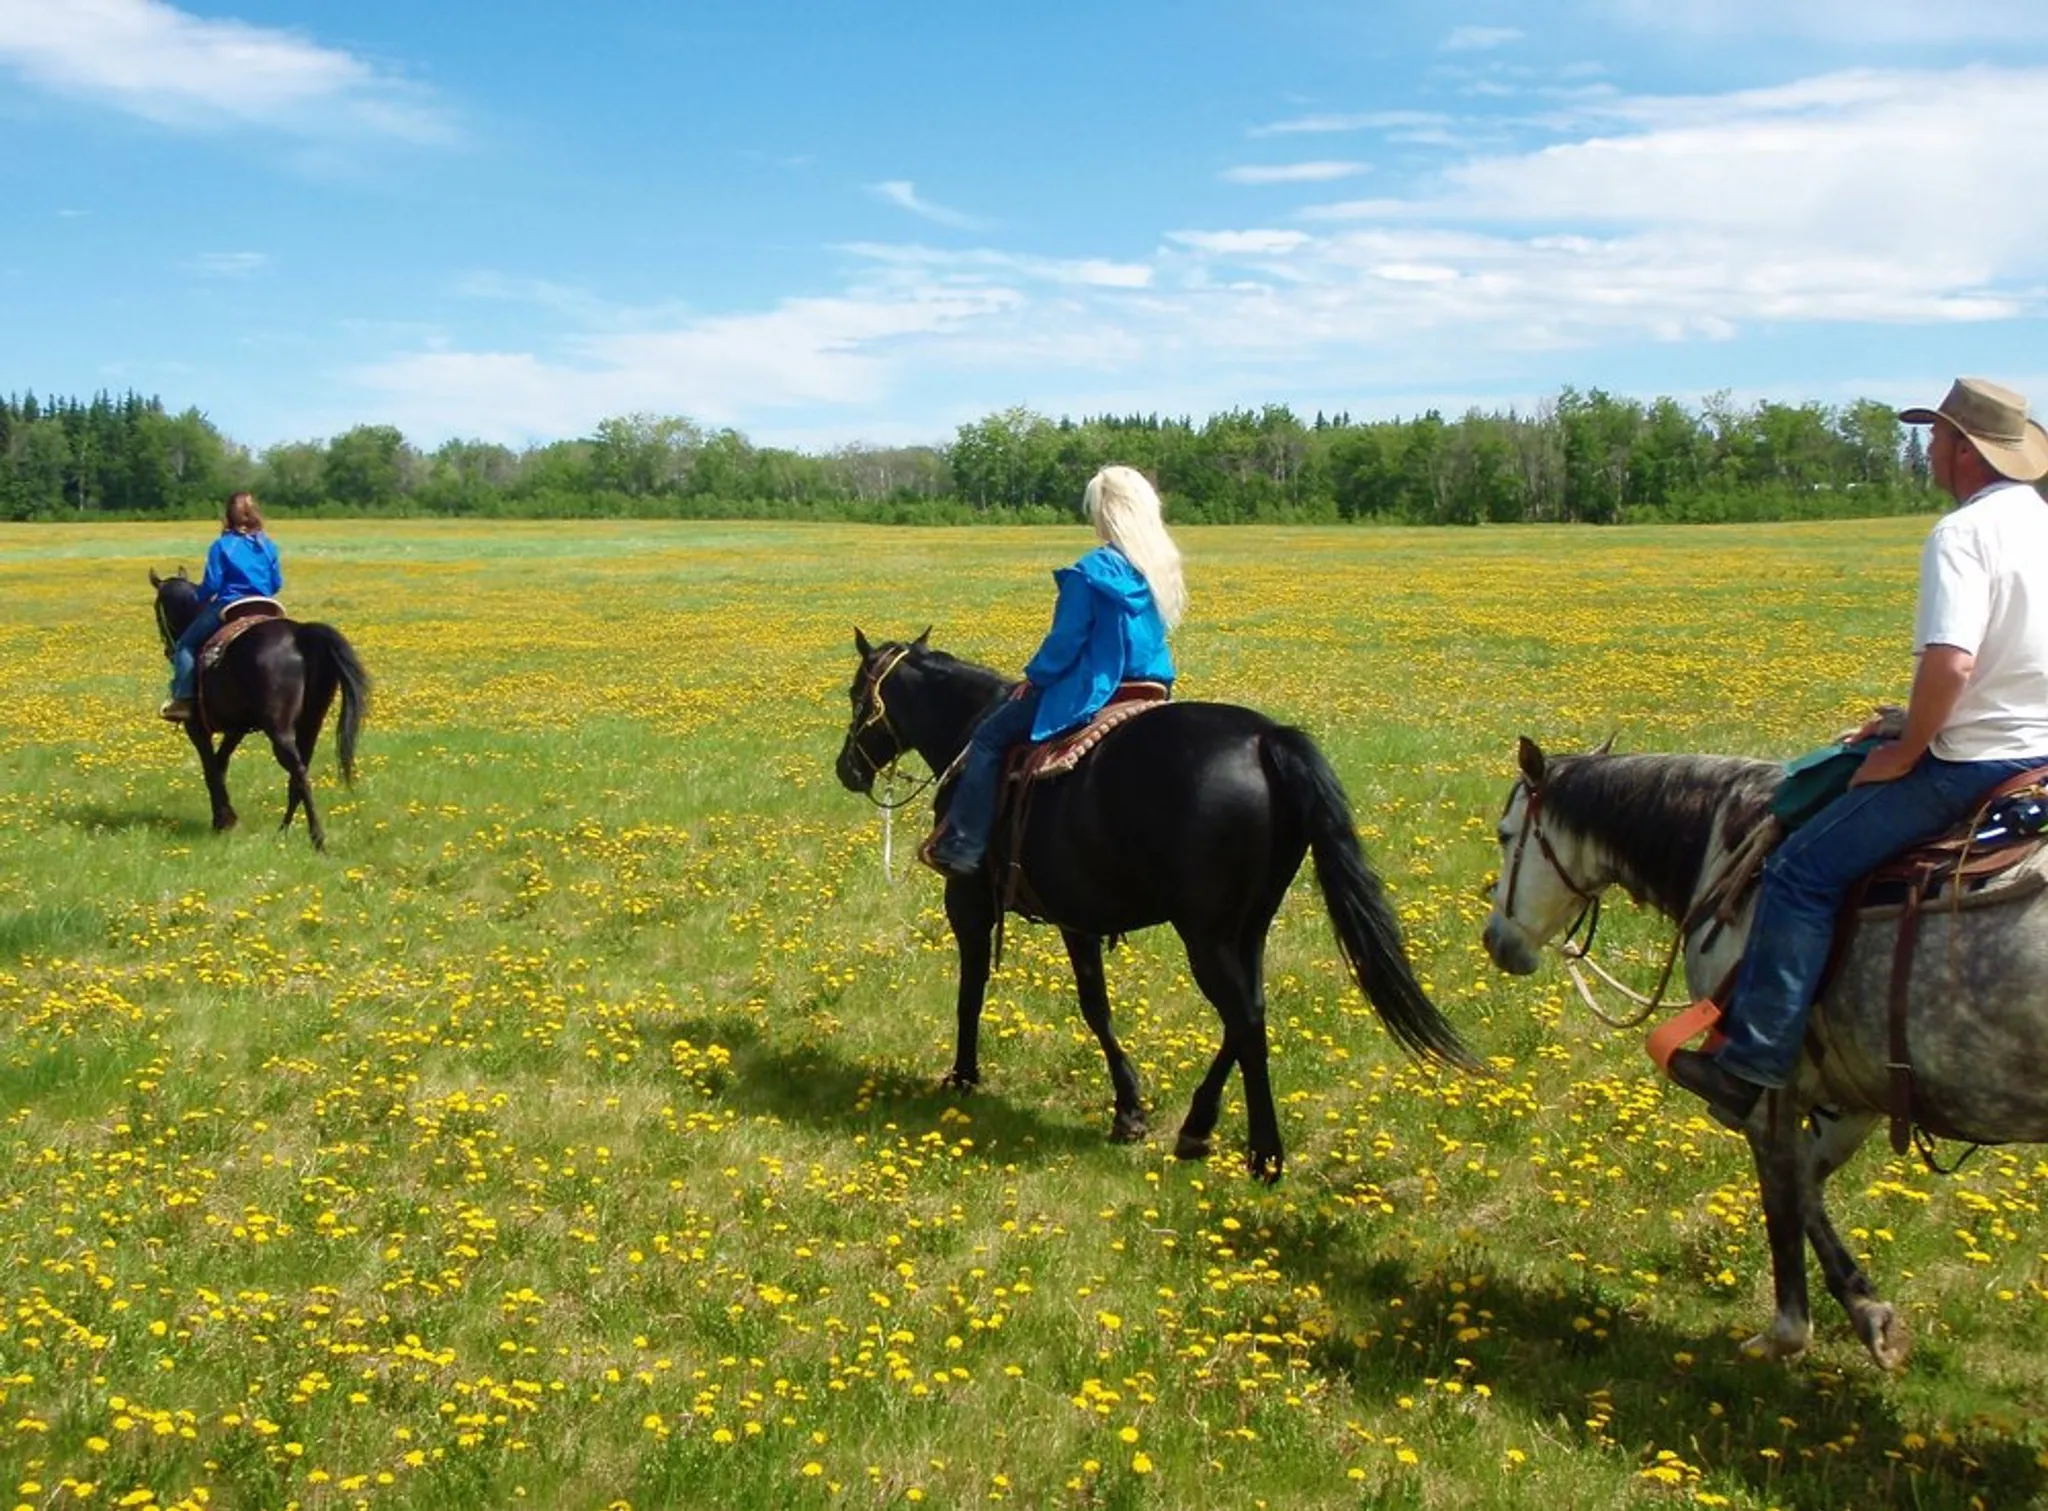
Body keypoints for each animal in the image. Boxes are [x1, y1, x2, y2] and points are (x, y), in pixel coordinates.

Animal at [150, 567, 371, 852]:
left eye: (157, 609)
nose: (169, 649)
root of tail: (300, 635)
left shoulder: (196, 727)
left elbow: (210, 769)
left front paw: (224, 821)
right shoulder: (236, 728)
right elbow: (220, 766)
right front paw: (224, 818)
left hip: (280, 730)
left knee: (298, 772)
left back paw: (317, 838)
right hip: (311, 723)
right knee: (299, 773)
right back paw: (283, 831)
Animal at [834, 629, 1475, 1183]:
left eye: (856, 696)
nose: (846, 769)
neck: (971, 732)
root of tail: (1266, 740)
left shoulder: (975, 904)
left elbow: (998, 996)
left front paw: (968, 1077)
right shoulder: (1079, 920)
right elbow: (1090, 1005)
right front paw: (1129, 1109)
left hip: (1206, 935)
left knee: (1243, 1017)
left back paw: (1264, 1155)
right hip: (1249, 926)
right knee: (1250, 1012)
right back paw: (1198, 1128)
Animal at [1482, 735, 2048, 1370]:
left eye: (1505, 834)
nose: (1494, 940)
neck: (1728, 849)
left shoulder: (1769, 1093)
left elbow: (1785, 1196)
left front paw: (1789, 1332)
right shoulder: (1853, 1096)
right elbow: (1808, 1186)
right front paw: (1871, 1315)